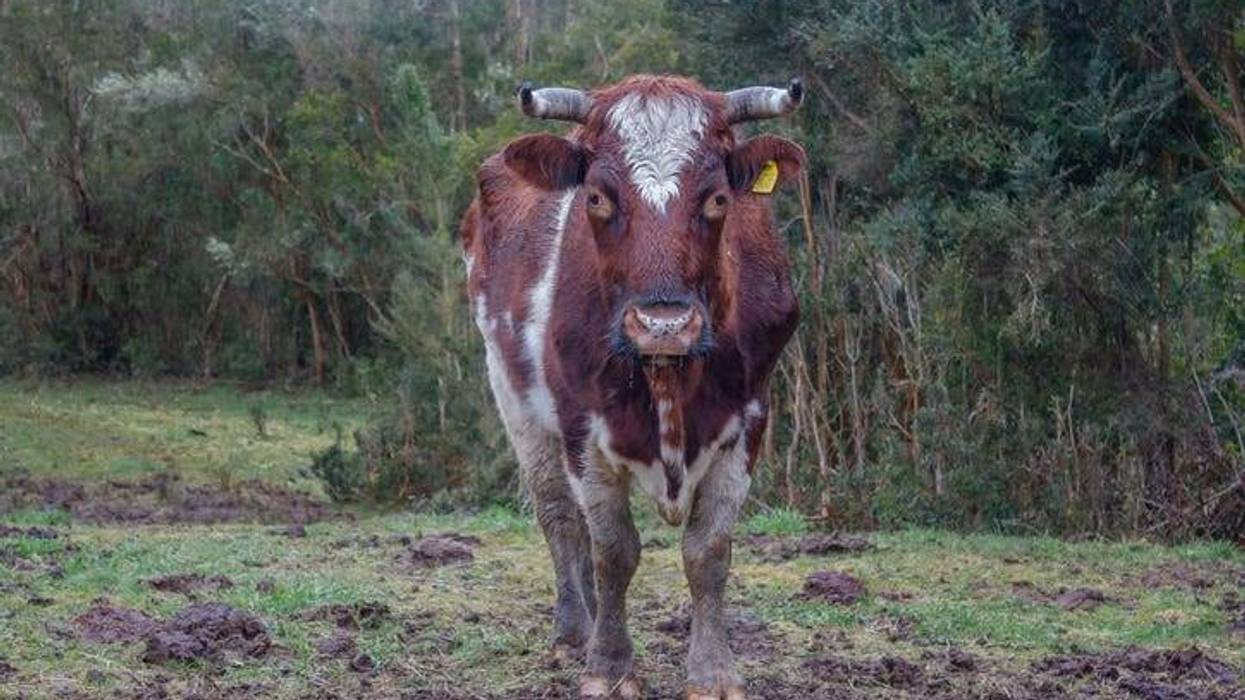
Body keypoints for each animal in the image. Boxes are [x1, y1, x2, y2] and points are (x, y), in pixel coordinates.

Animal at [461, 74, 804, 699]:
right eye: (598, 197)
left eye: (718, 198)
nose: (663, 324)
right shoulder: (580, 426)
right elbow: (614, 550)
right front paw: (609, 665)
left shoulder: (749, 422)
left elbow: (708, 551)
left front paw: (713, 672)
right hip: (516, 401)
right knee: (560, 517)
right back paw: (577, 631)